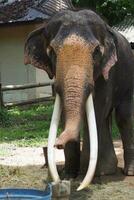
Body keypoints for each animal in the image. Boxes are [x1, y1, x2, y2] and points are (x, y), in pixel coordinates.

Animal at [24, 9, 134, 191]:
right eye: (52, 51)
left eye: (96, 51)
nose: (57, 144)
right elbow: (64, 113)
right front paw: (68, 176)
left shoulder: (107, 72)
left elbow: (97, 110)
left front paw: (86, 179)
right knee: (107, 119)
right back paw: (107, 171)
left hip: (128, 80)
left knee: (124, 117)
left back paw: (126, 172)